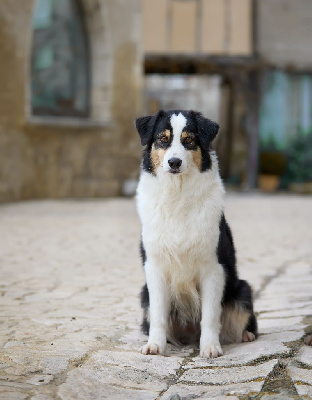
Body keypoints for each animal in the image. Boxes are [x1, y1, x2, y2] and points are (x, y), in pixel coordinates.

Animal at [135, 110, 258, 360]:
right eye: (163, 139)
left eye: (189, 140)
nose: (174, 162)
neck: (177, 194)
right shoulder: (155, 267)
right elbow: (158, 315)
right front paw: (155, 346)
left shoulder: (213, 269)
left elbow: (210, 316)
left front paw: (210, 347)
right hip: (144, 294)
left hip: (242, 291)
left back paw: (246, 335)